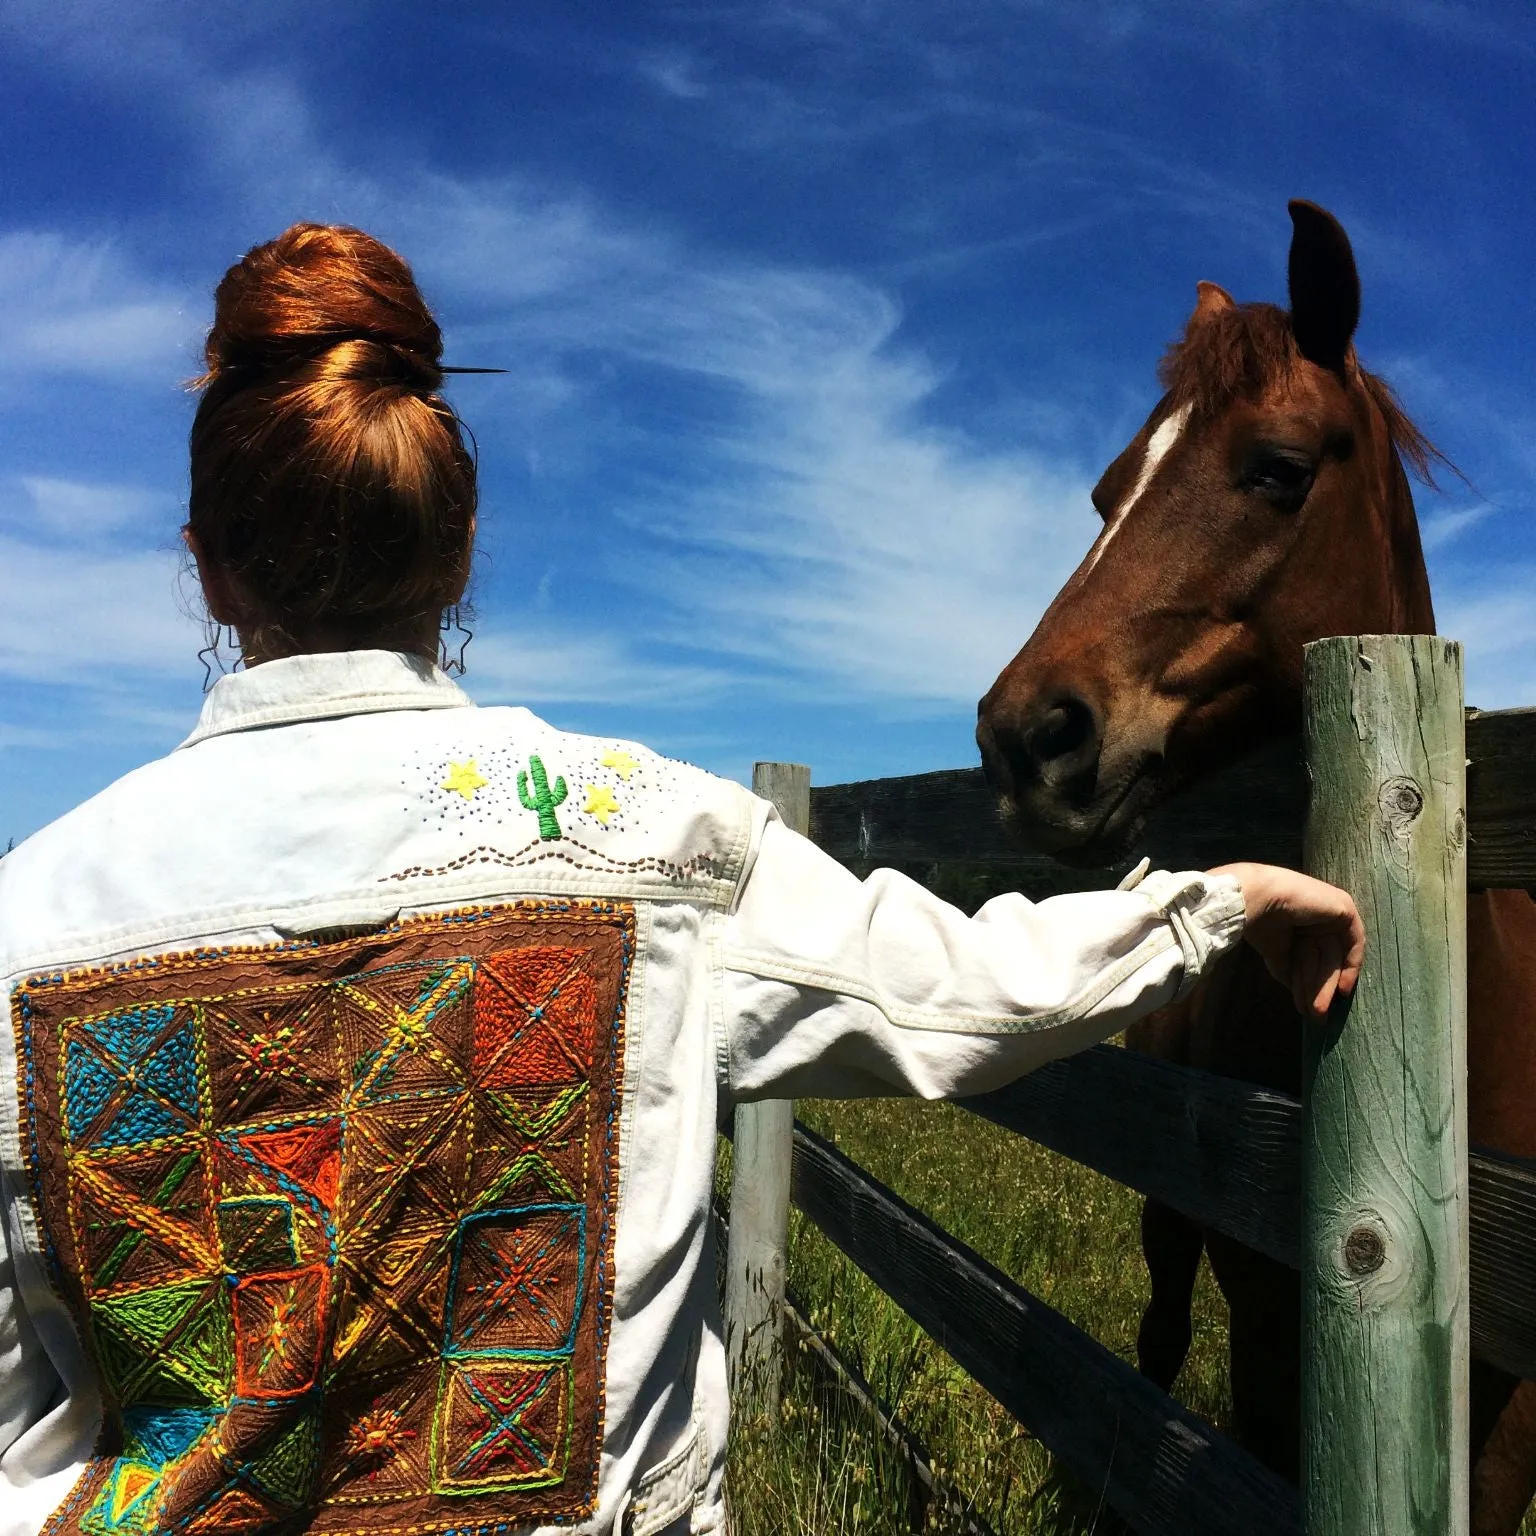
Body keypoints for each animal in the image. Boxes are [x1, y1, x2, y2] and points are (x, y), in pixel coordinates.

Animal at [976, 204, 1536, 1536]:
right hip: (1175, 1220)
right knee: (1158, 1338)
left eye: (1277, 467)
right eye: (1105, 491)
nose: (1024, 737)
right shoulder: (1277, 1333)